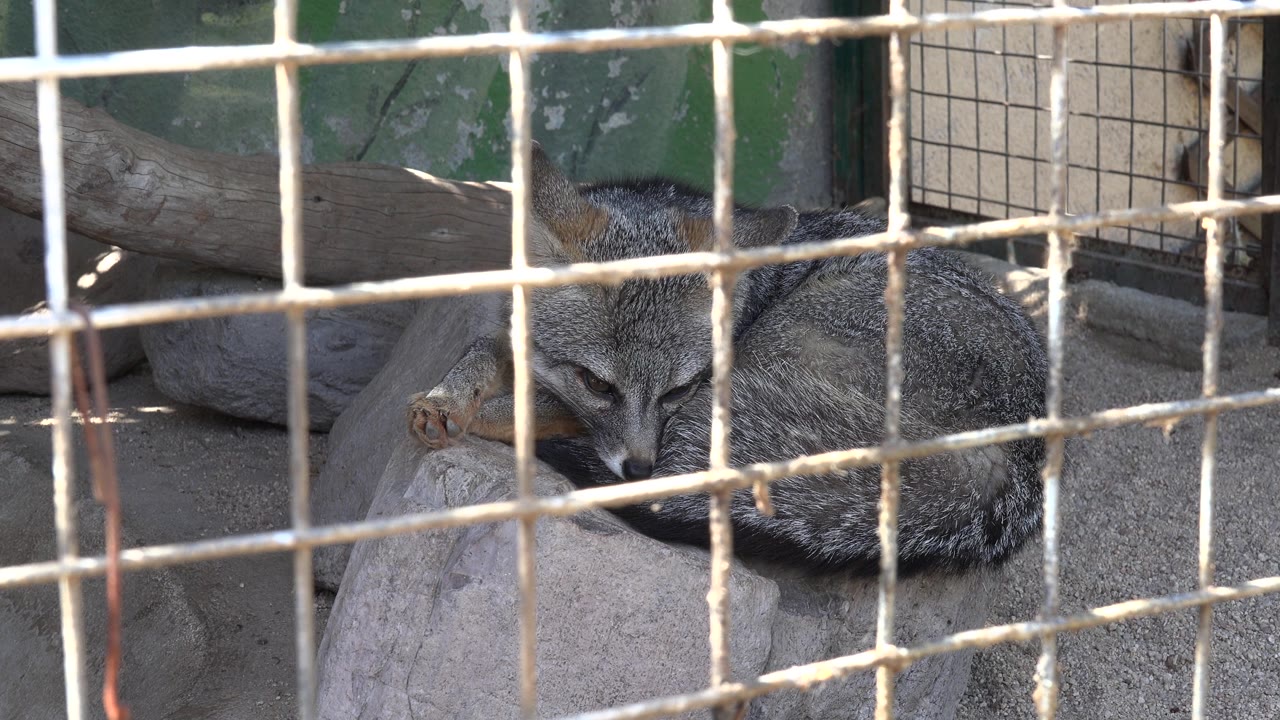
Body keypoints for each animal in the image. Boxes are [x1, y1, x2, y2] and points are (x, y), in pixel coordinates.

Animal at [407, 143, 1049, 573]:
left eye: (677, 389)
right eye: (597, 382)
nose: (639, 470)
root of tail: (1021, 446)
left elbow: (543, 403)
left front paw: (492, 413)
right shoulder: (511, 332)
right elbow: (480, 353)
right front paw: (446, 400)